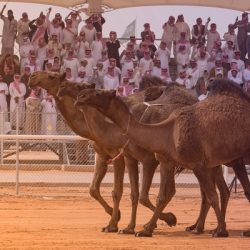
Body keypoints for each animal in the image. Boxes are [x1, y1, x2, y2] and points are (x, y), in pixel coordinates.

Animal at [27, 72, 176, 234]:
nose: (32, 77)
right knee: (170, 190)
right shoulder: (102, 154)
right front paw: (117, 216)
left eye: (52, 76)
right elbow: (93, 189)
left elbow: (117, 191)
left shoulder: (119, 155)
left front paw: (113, 224)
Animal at [74, 79, 250, 236]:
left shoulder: (196, 164)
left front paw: (221, 230)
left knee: (219, 192)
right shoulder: (167, 162)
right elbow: (160, 196)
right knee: (221, 191)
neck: (167, 132)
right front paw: (145, 229)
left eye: (98, 92)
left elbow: (211, 196)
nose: (80, 97)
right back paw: (198, 227)